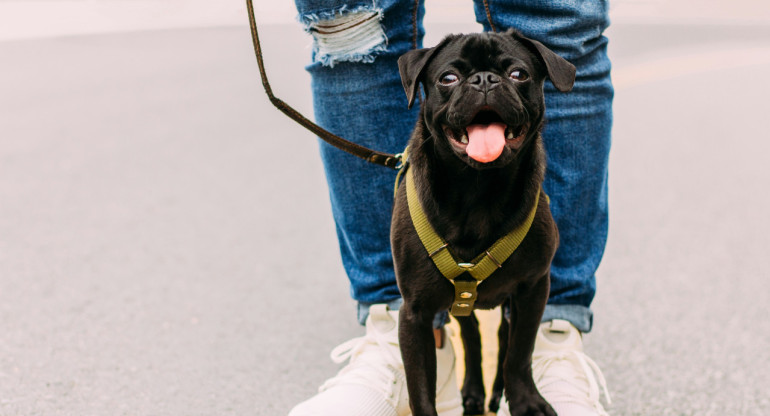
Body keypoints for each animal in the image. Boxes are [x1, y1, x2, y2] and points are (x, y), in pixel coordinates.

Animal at [390, 30, 576, 416]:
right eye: (448, 78)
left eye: (519, 74)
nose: (485, 80)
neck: (478, 190)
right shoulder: (414, 314)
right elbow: (420, 390)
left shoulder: (534, 288)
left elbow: (519, 352)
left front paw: (524, 401)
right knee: (472, 335)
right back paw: (474, 391)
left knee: (503, 338)